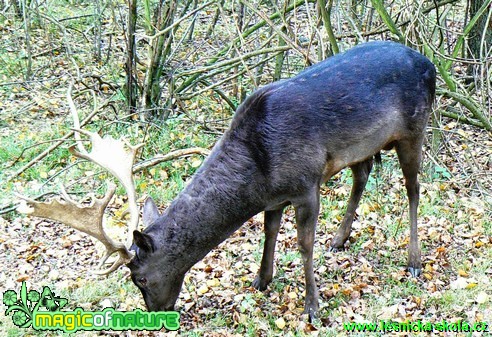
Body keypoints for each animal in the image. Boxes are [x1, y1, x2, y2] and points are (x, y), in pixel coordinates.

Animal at [19, 42, 434, 320]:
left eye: (139, 278)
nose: (155, 313)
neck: (258, 174)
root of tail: (429, 63)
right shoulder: (275, 197)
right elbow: (269, 232)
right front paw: (261, 280)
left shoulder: (306, 184)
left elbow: (303, 245)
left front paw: (312, 308)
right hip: (363, 145)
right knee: (363, 174)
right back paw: (340, 238)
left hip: (414, 128)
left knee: (414, 189)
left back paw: (413, 261)